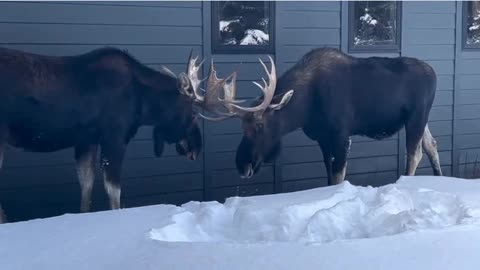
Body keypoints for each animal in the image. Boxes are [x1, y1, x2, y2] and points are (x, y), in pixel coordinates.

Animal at [0, 47, 214, 215]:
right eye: (193, 113)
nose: (196, 148)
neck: (143, 101)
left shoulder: (87, 141)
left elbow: (86, 186)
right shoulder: (114, 137)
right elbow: (114, 191)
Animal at [202, 47, 442, 186]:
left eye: (259, 125)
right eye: (242, 127)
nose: (241, 165)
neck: (305, 110)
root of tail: (434, 73)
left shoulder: (341, 134)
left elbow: (338, 177)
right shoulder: (322, 139)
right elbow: (329, 176)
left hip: (416, 116)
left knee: (415, 152)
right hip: (422, 118)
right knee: (431, 144)